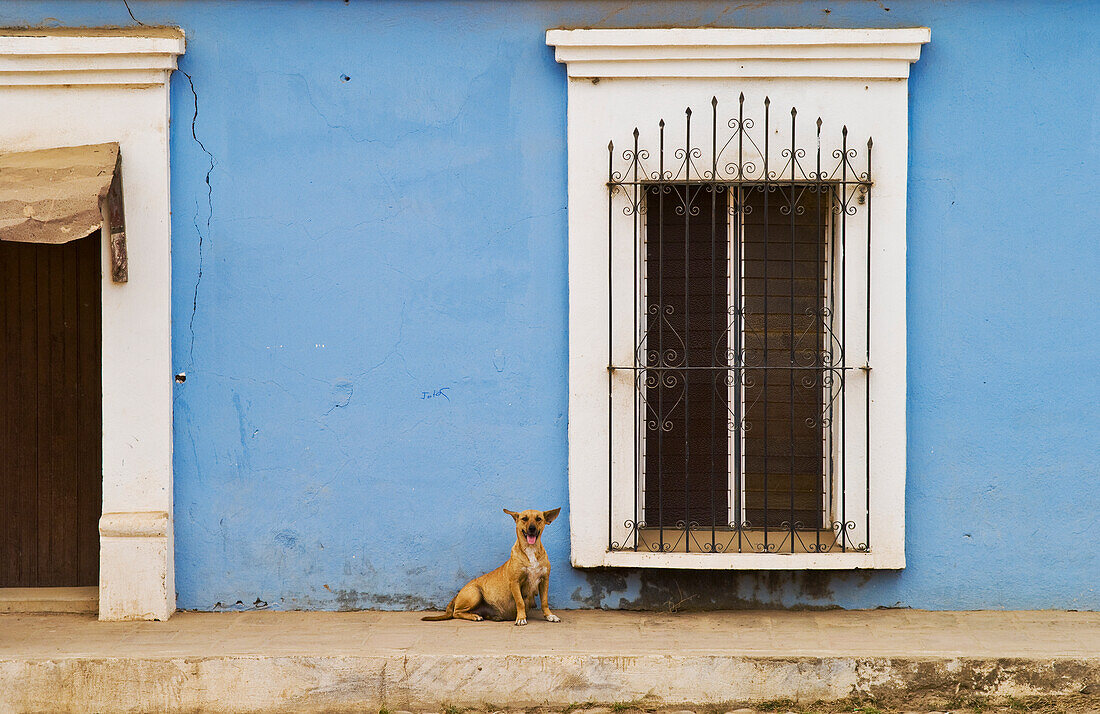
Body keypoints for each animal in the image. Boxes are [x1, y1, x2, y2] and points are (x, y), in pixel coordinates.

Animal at [418, 506, 558, 624]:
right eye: (524, 519)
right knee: (456, 613)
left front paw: (549, 615)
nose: (532, 529)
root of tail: (457, 594)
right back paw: (475, 616)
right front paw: (521, 618)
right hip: (475, 594)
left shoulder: (544, 580)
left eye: (539, 519)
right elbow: (520, 602)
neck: (530, 549)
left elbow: (544, 602)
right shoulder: (515, 582)